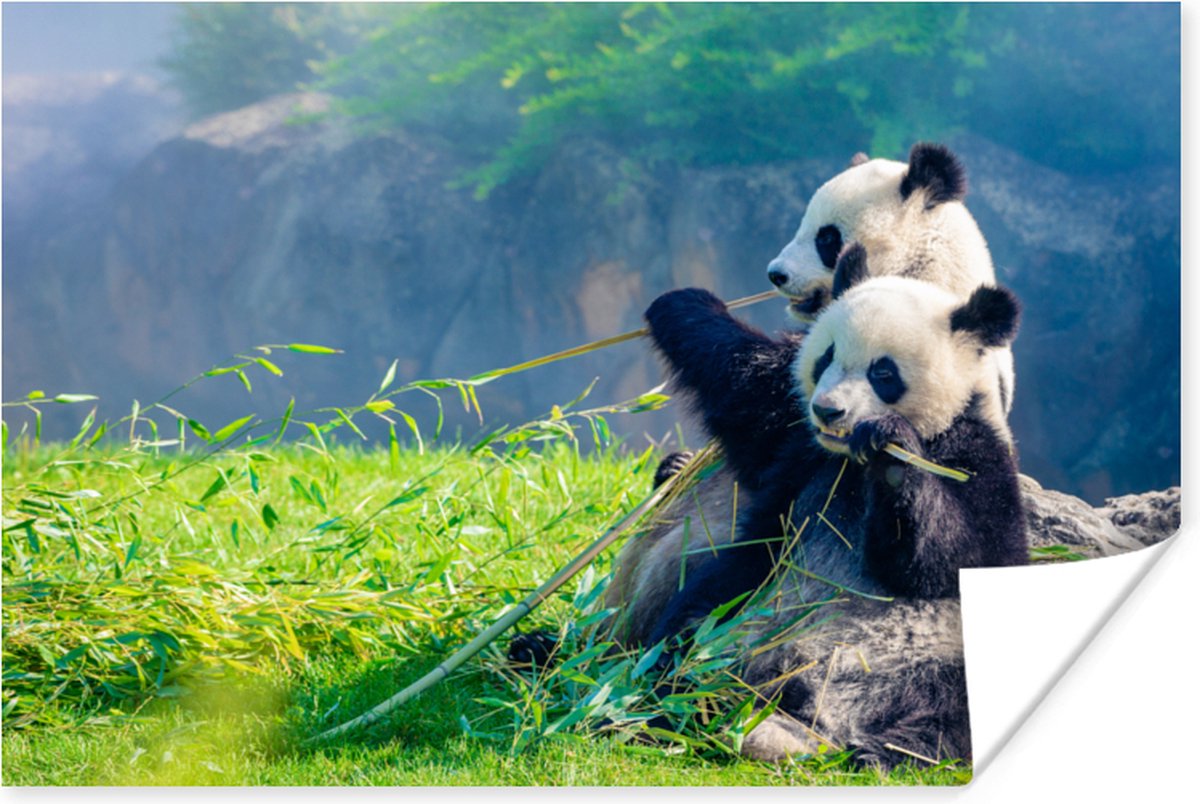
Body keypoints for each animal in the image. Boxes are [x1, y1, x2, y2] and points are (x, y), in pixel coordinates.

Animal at [605, 257, 1027, 767]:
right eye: (826, 356)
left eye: (883, 372)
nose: (828, 411)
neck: (850, 463)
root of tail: (816, 712)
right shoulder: (800, 459)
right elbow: (750, 402)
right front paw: (683, 303)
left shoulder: (976, 455)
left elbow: (957, 558)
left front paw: (891, 451)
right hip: (737, 624)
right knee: (692, 634)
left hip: (934, 656)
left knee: (951, 707)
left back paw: (885, 749)